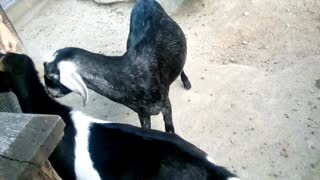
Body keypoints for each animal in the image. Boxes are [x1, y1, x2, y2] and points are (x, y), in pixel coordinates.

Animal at [43, 0, 191, 134]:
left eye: (50, 77)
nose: (48, 92)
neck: (130, 76)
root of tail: (145, 1)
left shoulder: (166, 105)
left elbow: (170, 129)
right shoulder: (142, 112)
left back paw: (186, 82)